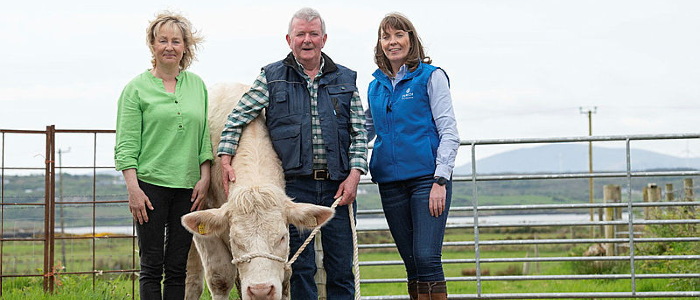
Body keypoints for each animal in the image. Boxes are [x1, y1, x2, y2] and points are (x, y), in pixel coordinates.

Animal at [179, 82, 334, 300]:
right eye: (235, 240)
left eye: (282, 237)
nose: (261, 290)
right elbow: (220, 278)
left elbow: (286, 277)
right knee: (192, 279)